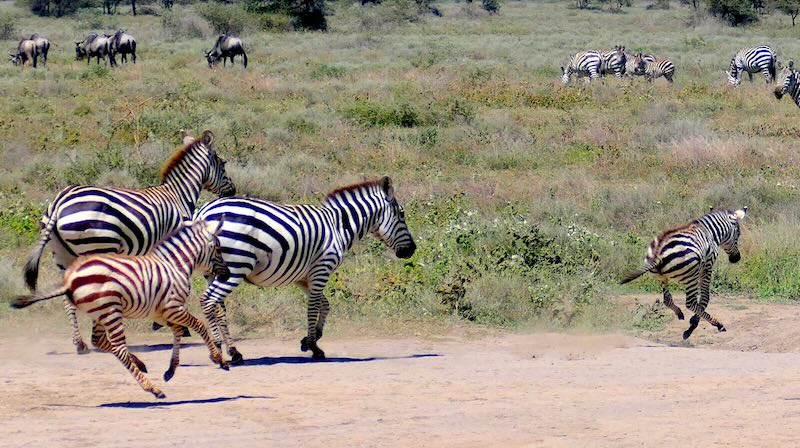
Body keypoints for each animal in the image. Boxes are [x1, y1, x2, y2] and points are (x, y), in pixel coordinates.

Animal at [11, 219, 231, 399]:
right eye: (219, 249)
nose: (227, 274)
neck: (175, 266)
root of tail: (69, 280)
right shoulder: (173, 307)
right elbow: (199, 325)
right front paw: (219, 359)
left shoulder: (163, 312)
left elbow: (178, 332)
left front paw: (171, 370)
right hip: (110, 311)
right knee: (117, 347)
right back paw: (152, 388)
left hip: (100, 313)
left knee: (99, 341)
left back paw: (140, 364)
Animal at [23, 130, 236, 354]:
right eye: (222, 164)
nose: (232, 191)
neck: (178, 196)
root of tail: (58, 202)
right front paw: (172, 323)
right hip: (95, 246)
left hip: (61, 255)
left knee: (67, 297)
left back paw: (80, 343)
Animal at [193, 176, 416, 362]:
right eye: (402, 214)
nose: (412, 250)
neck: (339, 226)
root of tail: (203, 211)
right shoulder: (322, 269)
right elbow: (314, 307)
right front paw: (313, 346)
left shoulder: (304, 277)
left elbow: (325, 305)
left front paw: (311, 339)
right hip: (236, 266)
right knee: (208, 300)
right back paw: (218, 349)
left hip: (214, 271)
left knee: (218, 307)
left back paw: (233, 351)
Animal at [621, 207, 747, 340]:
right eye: (738, 234)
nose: (736, 258)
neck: (711, 233)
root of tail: (658, 255)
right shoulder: (707, 266)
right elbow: (705, 297)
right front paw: (693, 323)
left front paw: (694, 321)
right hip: (691, 277)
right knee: (690, 303)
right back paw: (717, 324)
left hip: (661, 277)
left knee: (667, 299)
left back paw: (679, 313)